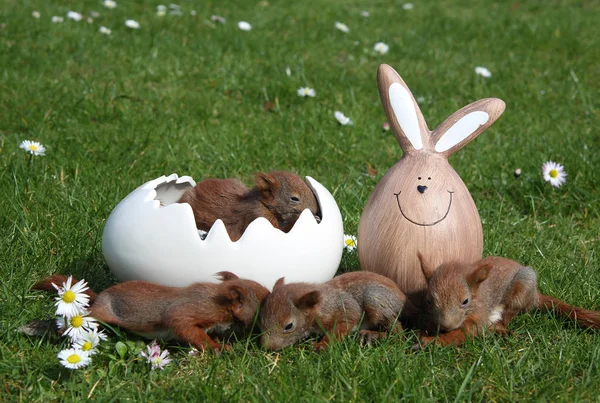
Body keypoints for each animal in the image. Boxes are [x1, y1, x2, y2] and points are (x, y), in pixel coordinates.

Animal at [29, 274, 270, 356]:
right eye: (263, 298)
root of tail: (99, 298)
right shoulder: (198, 308)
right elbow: (183, 324)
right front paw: (218, 347)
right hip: (101, 314)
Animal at [258, 274, 406, 352]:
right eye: (261, 320)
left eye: (289, 326)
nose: (268, 347)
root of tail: (403, 297)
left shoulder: (342, 307)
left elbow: (346, 322)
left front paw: (321, 345)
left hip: (374, 299)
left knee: (399, 334)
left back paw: (373, 335)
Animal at [414, 256, 600, 348]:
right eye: (429, 301)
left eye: (465, 301)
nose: (445, 326)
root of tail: (535, 296)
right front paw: (424, 333)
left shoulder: (479, 316)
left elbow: (466, 332)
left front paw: (434, 342)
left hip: (520, 291)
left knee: (506, 318)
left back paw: (499, 330)